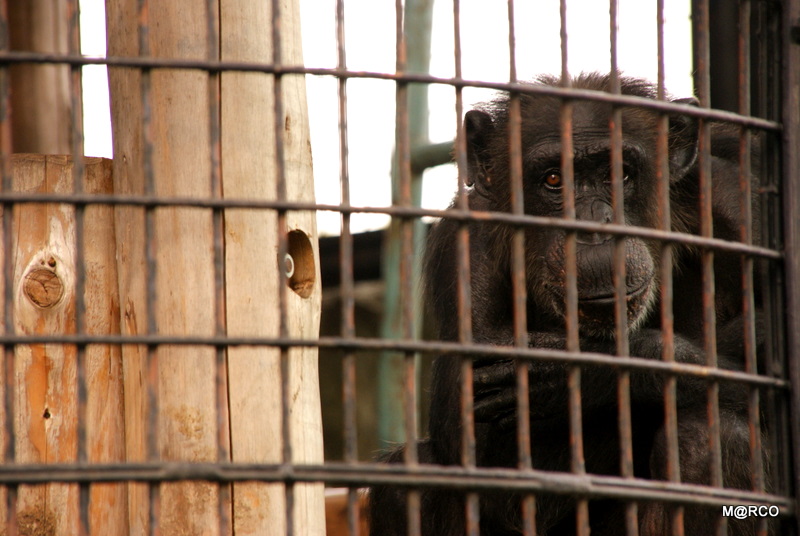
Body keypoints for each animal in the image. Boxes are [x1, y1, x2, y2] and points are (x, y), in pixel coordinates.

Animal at [368, 72, 768, 536]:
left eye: (619, 173)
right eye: (554, 179)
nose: (592, 225)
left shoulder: (736, 201)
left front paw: (569, 372)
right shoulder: (468, 238)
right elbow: (478, 440)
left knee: (710, 438)